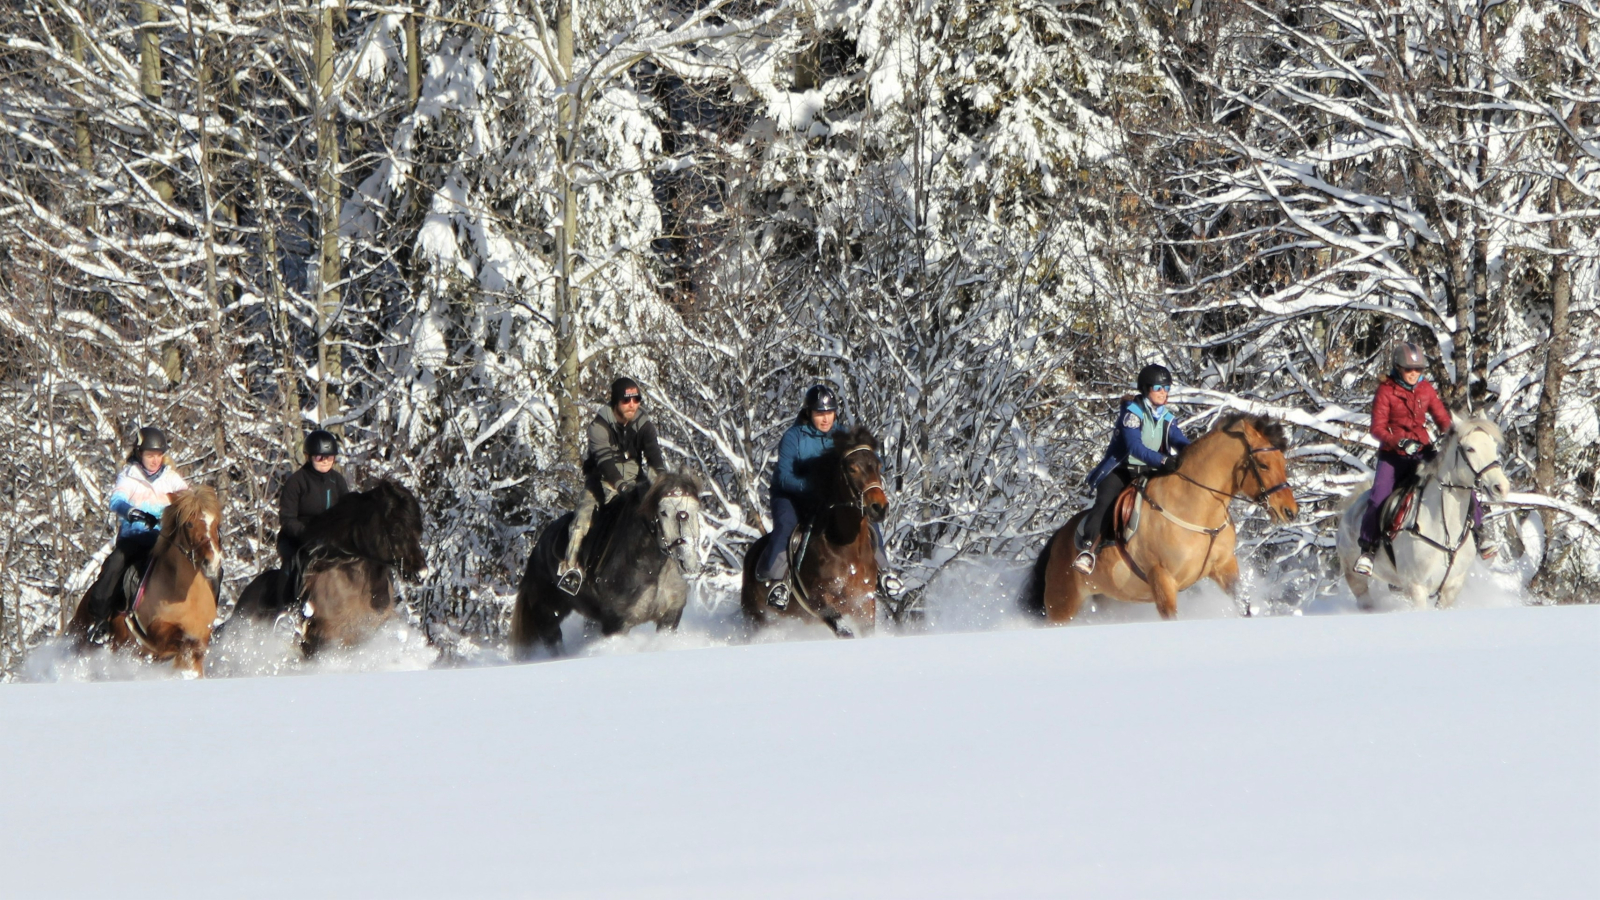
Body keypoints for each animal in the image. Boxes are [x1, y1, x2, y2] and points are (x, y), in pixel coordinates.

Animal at [66, 483, 224, 672]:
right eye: (190, 524)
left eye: (216, 523)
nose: (212, 561)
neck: (186, 596)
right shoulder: (158, 635)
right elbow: (181, 641)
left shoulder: (201, 639)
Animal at [508, 470, 704, 659]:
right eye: (663, 512)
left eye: (696, 509)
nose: (688, 559)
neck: (653, 573)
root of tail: (537, 550)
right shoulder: (616, 624)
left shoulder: (670, 617)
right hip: (547, 614)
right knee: (554, 644)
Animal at [742, 422, 896, 634]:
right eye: (852, 468)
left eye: (878, 466)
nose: (879, 508)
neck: (845, 546)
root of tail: (750, 555)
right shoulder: (820, 602)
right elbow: (844, 630)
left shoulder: (864, 603)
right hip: (755, 616)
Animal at [1024, 409, 1299, 621]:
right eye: (1263, 465)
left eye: (1283, 462)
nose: (1290, 511)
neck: (1196, 508)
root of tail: (1057, 540)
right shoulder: (1162, 579)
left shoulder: (1224, 567)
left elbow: (1243, 604)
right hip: (1062, 604)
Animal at [1337, 413, 1510, 608]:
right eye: (1470, 448)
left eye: (1494, 447)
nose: (1501, 487)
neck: (1445, 530)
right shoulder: (1416, 588)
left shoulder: (1452, 587)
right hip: (1356, 580)